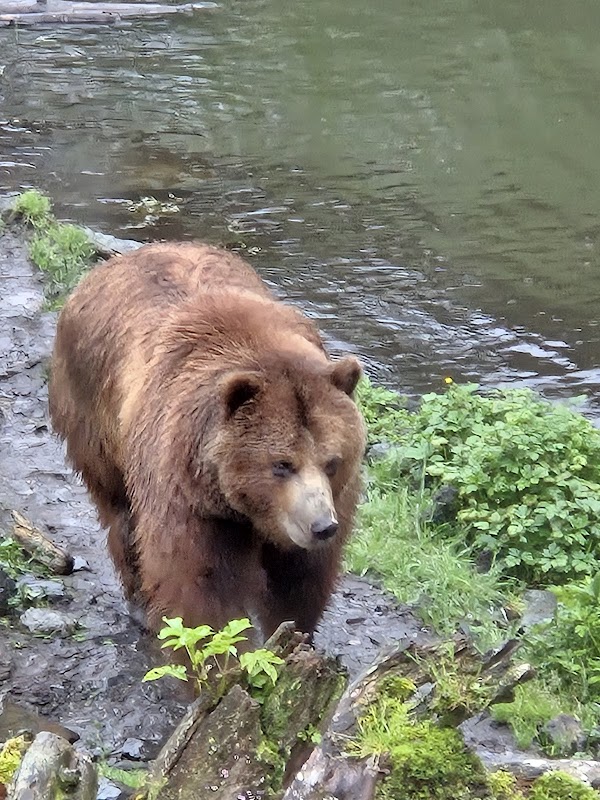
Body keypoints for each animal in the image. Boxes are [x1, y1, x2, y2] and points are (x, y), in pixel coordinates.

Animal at [48, 242, 366, 644]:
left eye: (332, 462)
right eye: (281, 464)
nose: (322, 525)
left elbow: (299, 579)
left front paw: (292, 635)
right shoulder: (189, 494)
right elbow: (202, 583)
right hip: (93, 411)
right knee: (120, 511)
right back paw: (139, 603)